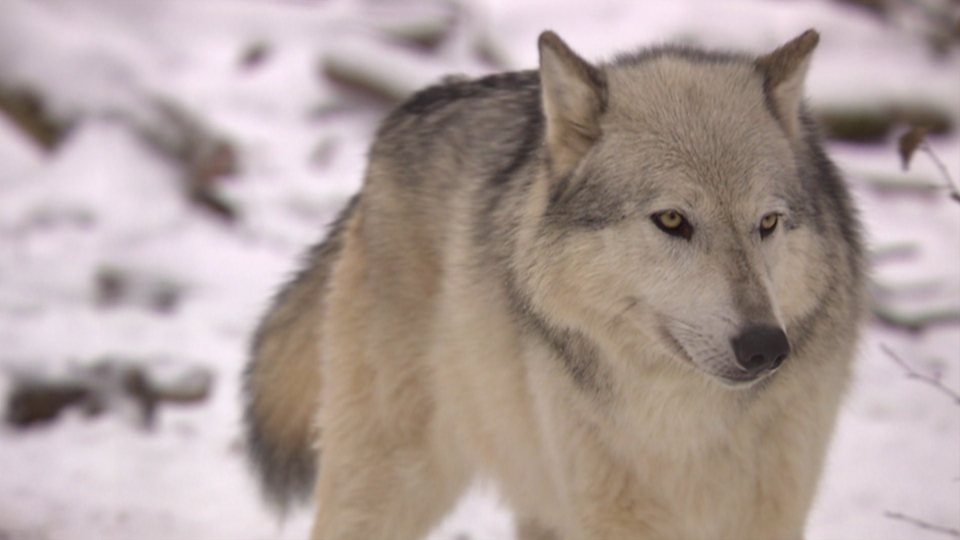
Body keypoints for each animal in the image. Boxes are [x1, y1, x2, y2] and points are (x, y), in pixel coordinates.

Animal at [244, 29, 868, 540]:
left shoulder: (770, 513)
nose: (765, 347)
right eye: (672, 220)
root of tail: (400, 119)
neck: (681, 428)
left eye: (768, 223)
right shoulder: (615, 520)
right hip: (391, 480)